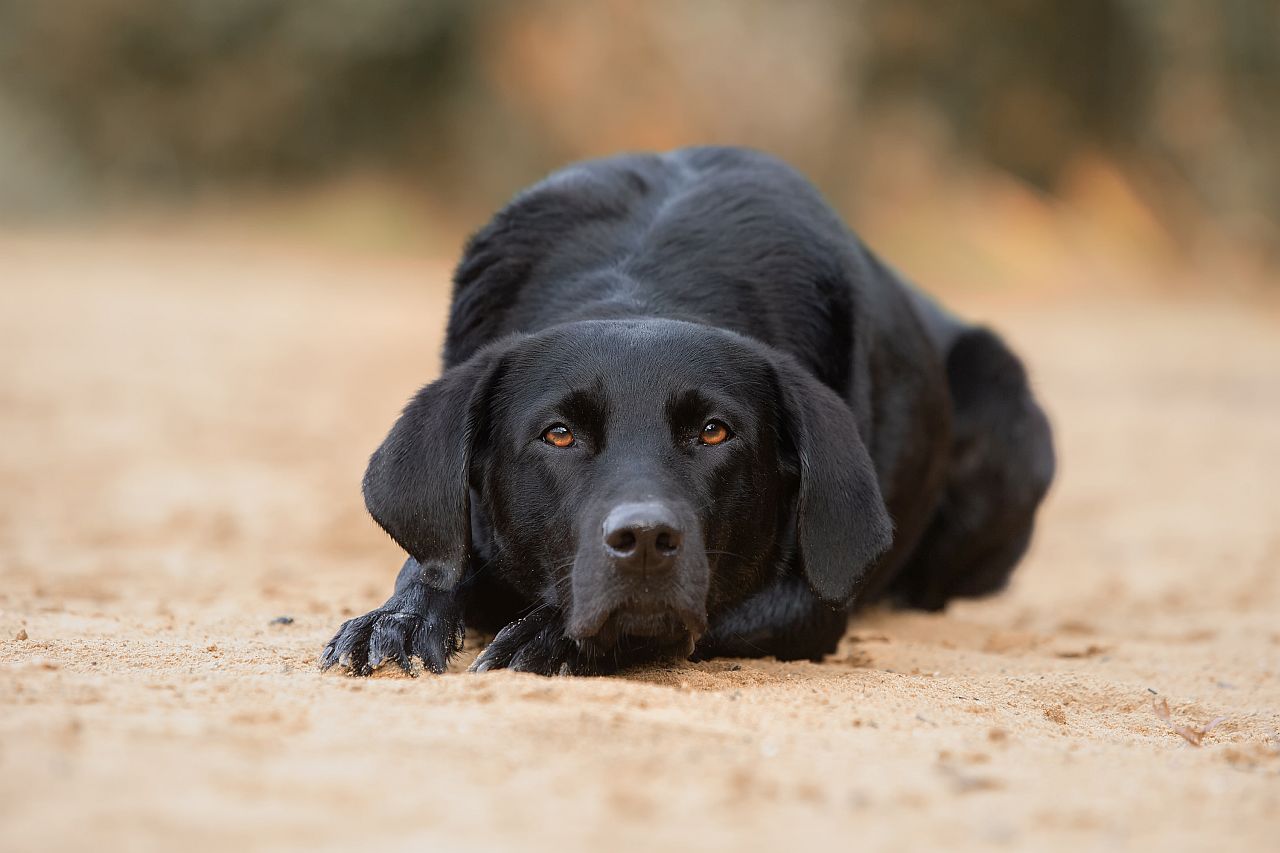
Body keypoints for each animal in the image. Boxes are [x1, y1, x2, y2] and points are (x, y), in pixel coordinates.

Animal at [320, 147, 1049, 676]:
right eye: (559, 434)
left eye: (713, 432)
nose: (645, 540)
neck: (640, 282)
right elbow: (434, 559)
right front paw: (397, 617)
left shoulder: (810, 597)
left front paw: (551, 638)